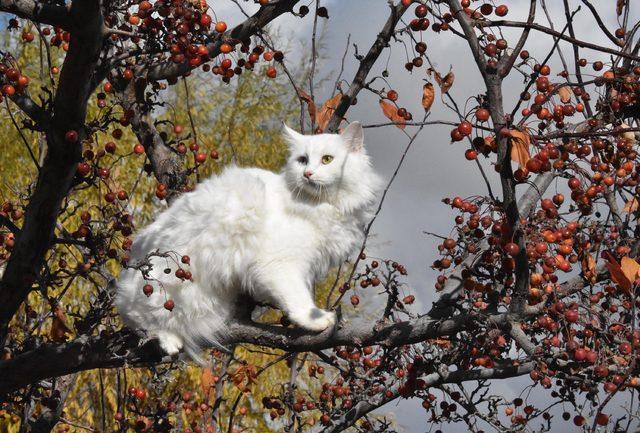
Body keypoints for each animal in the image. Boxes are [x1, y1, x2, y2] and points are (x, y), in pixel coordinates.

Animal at [116, 121, 380, 358]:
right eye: (303, 160)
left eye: (327, 159)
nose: (307, 174)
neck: (321, 205)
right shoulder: (279, 265)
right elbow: (299, 300)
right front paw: (318, 320)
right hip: (163, 289)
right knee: (145, 319)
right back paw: (169, 340)